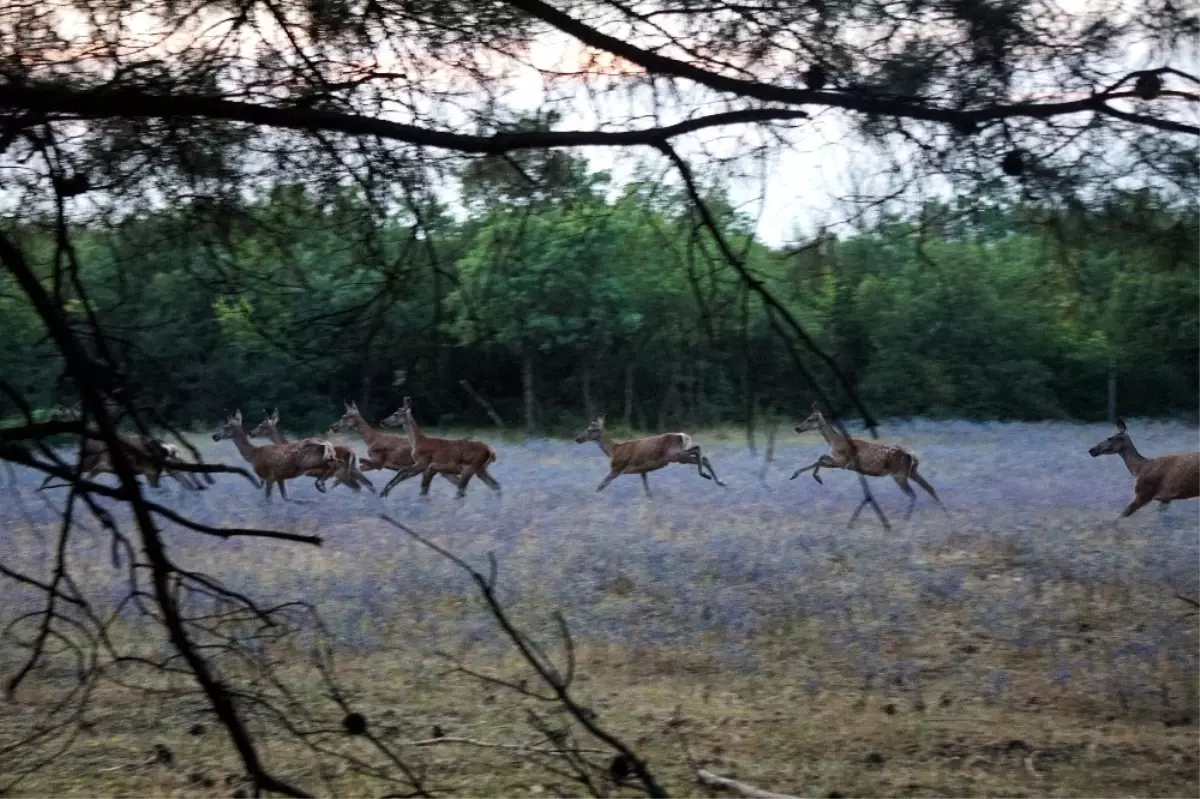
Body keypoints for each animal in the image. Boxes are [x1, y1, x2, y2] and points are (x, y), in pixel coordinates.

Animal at [38, 400, 204, 489]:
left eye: (65, 415)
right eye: (60, 414)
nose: (53, 424)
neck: (91, 444)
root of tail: (170, 446)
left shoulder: (101, 464)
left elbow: (84, 479)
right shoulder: (88, 465)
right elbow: (62, 470)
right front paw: (42, 485)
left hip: (159, 465)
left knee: (184, 475)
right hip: (166, 465)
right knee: (184, 473)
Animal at [571, 412, 720, 494]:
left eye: (591, 429)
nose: (577, 439)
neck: (613, 450)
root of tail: (682, 435)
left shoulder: (617, 468)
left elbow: (600, 486)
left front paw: (594, 496)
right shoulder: (643, 470)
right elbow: (647, 490)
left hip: (674, 454)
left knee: (697, 449)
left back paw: (706, 475)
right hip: (677, 456)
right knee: (703, 456)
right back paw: (718, 481)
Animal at [787, 405, 945, 523]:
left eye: (809, 419)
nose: (797, 428)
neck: (833, 441)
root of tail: (911, 455)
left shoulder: (843, 462)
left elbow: (820, 457)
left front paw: (817, 478)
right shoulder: (841, 464)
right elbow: (817, 460)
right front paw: (794, 474)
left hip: (899, 474)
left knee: (913, 494)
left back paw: (907, 519)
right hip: (911, 472)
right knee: (929, 487)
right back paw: (945, 514)